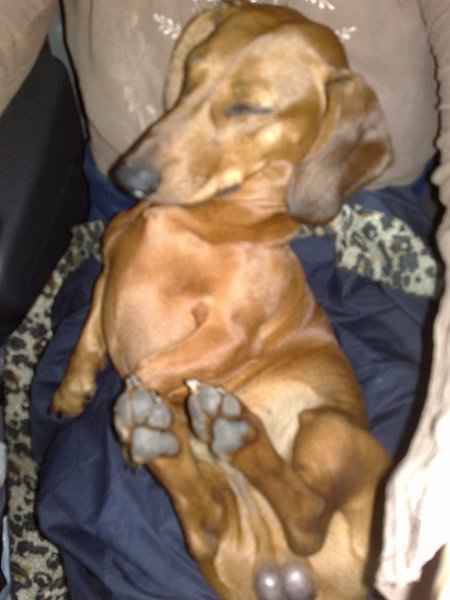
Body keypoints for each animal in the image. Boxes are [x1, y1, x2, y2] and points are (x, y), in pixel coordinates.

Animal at [52, 2, 393, 598]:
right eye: (192, 74)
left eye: (251, 106)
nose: (129, 178)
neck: (207, 219)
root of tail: (284, 574)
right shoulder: (106, 277)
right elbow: (90, 340)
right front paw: (74, 393)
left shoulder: (229, 334)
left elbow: (148, 368)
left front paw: (142, 398)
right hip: (218, 529)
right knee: (204, 520)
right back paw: (160, 436)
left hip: (327, 428)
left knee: (308, 516)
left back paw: (215, 427)